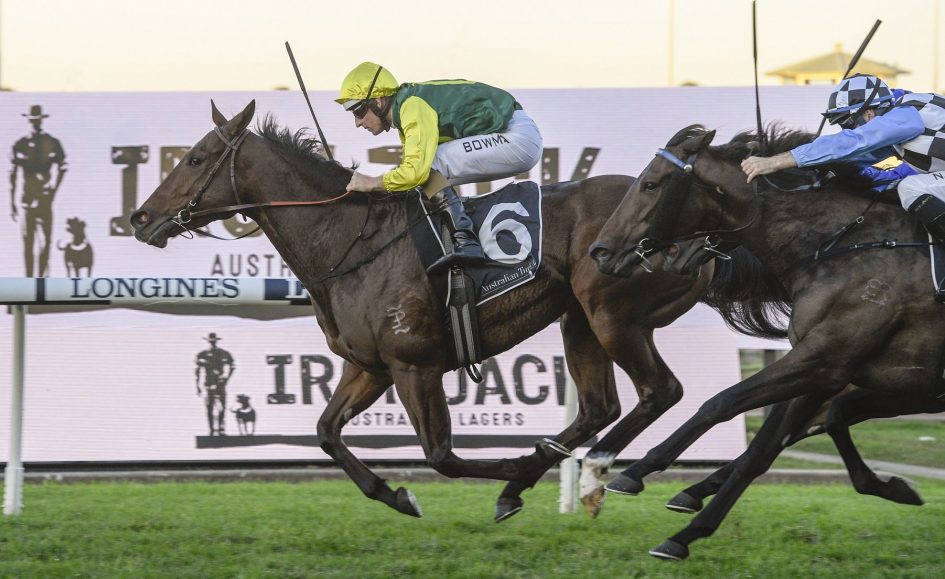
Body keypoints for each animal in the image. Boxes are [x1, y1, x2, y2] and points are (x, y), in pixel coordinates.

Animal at [130, 100, 725, 521]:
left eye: (195, 158)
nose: (140, 218)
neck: (348, 239)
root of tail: (697, 229)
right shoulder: (370, 367)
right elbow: (326, 431)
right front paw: (395, 494)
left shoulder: (415, 365)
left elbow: (442, 456)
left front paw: (506, 467)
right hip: (579, 319)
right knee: (601, 408)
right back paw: (540, 479)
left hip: (612, 316)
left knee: (660, 392)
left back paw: (582, 474)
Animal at [589, 123, 945, 560]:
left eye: (651, 184)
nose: (600, 251)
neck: (848, 246)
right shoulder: (824, 367)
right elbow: (767, 445)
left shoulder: (823, 360)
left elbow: (722, 405)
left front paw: (642, 480)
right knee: (831, 417)